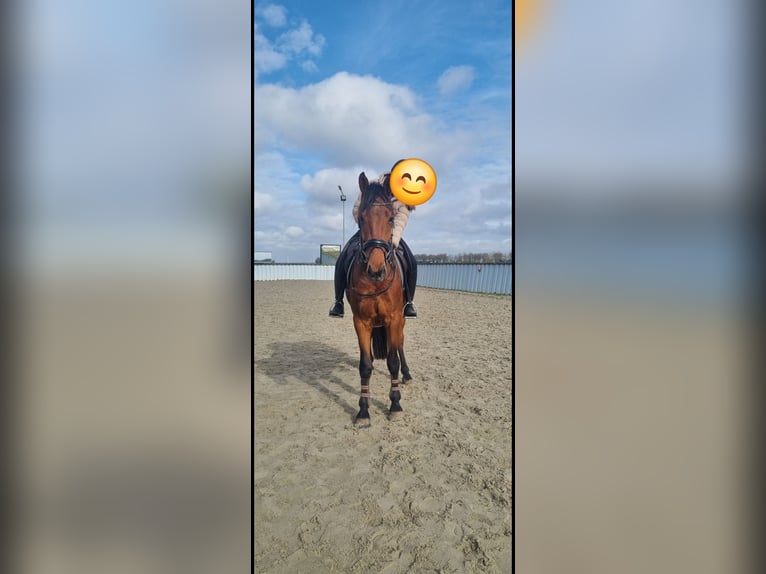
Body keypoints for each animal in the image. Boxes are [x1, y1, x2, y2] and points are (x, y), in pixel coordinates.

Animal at [346, 172, 412, 425]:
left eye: (391, 218)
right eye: (361, 218)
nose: (376, 270)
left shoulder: (394, 318)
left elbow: (393, 361)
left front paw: (395, 405)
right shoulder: (361, 321)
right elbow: (365, 366)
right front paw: (363, 410)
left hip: (401, 319)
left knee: (400, 344)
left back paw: (407, 373)